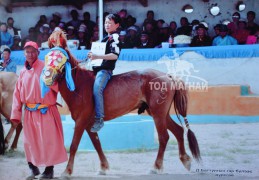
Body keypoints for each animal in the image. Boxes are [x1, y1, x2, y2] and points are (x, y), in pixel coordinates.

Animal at [42, 29, 202, 177]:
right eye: (47, 57)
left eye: (61, 59)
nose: (47, 77)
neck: (80, 85)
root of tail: (168, 76)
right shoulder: (88, 124)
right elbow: (97, 143)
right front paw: (104, 167)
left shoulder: (81, 121)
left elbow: (74, 145)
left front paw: (67, 171)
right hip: (159, 113)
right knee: (178, 131)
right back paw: (185, 160)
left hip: (158, 114)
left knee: (164, 137)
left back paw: (156, 167)